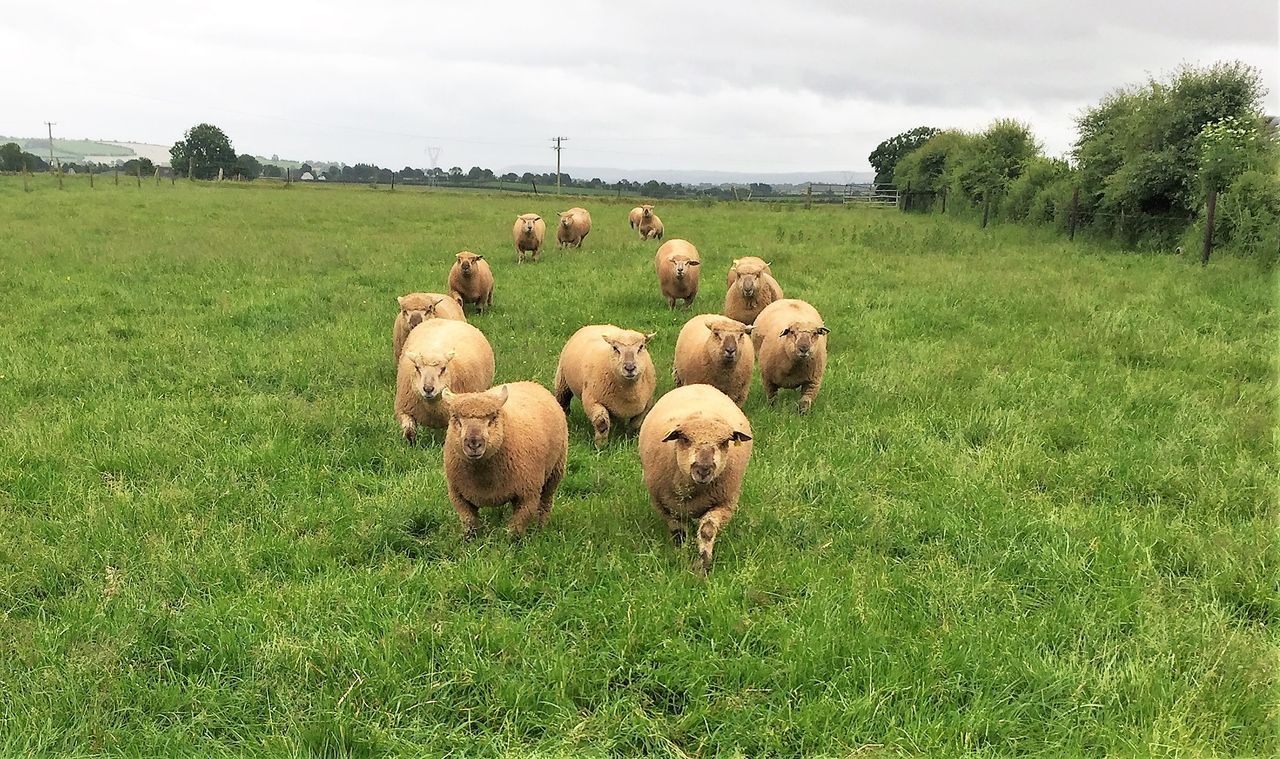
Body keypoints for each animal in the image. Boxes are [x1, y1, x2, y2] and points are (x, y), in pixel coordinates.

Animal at [441, 382, 568, 538]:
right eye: (456, 418)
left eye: (493, 418)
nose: (474, 444)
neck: (483, 479)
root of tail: (529, 382)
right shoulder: (458, 496)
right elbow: (470, 522)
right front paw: (470, 539)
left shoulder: (528, 495)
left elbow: (516, 528)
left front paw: (511, 541)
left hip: (555, 471)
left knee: (545, 502)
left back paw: (540, 528)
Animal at [638, 384, 753, 576]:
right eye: (684, 438)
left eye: (725, 442)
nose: (703, 470)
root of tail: (700, 385)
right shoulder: (665, 506)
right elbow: (678, 533)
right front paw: (681, 557)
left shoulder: (725, 503)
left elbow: (707, 531)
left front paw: (702, 565)